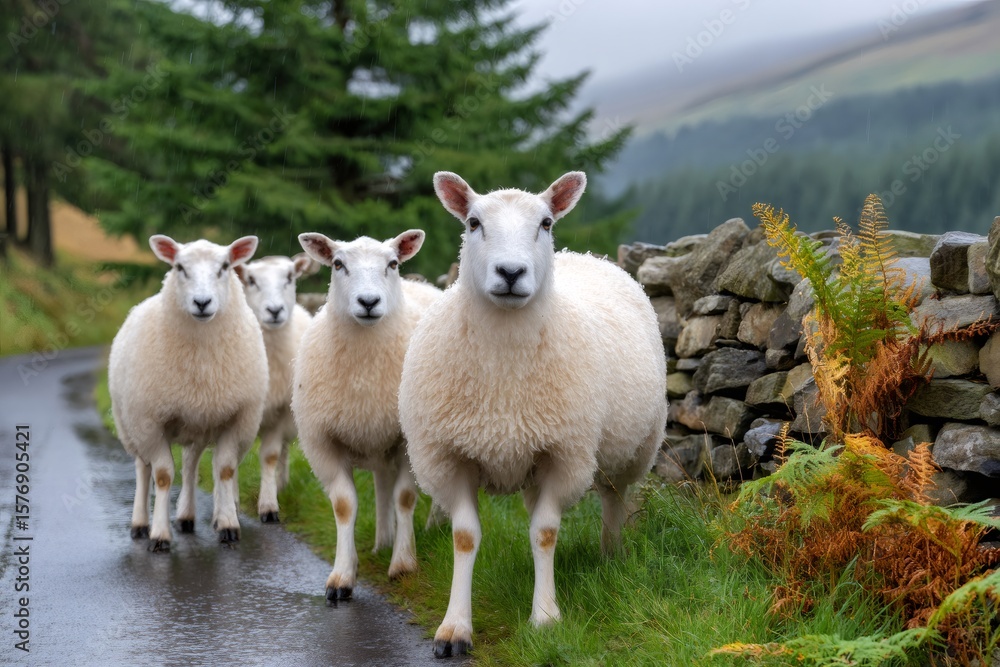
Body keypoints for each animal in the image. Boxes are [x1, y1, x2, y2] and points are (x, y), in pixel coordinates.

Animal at [108, 235, 268, 551]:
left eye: (225, 267)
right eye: (179, 267)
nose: (202, 303)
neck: (202, 361)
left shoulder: (238, 418)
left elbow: (224, 470)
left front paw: (228, 525)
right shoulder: (150, 423)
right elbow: (162, 475)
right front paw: (159, 535)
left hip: (198, 422)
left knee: (192, 466)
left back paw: (187, 516)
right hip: (131, 425)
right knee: (142, 469)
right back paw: (140, 524)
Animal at [233, 253, 315, 523]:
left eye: (289, 277)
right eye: (250, 280)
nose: (275, 310)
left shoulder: (279, 414)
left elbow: (270, 456)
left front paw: (269, 505)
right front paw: (231, 503)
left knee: (284, 451)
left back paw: (281, 484)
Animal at [293, 229, 442, 603]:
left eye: (393, 264)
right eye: (337, 264)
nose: (369, 302)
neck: (366, 370)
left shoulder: (407, 441)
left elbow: (405, 498)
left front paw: (403, 565)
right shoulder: (323, 442)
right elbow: (345, 505)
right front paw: (342, 576)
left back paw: (435, 526)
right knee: (382, 484)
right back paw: (383, 540)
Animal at [398, 172, 668, 658]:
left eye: (545, 223)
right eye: (473, 223)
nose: (510, 273)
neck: (505, 374)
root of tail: (585, 256)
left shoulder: (564, 455)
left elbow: (545, 532)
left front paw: (545, 617)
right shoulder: (449, 458)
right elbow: (465, 537)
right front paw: (455, 627)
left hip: (631, 449)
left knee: (614, 499)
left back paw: (611, 554)